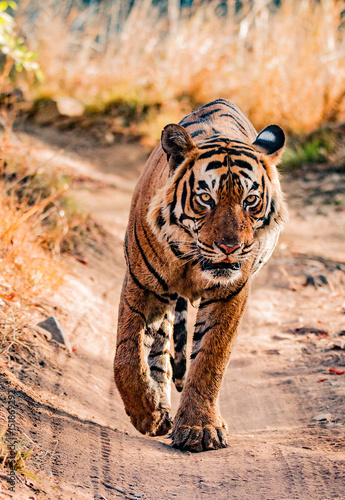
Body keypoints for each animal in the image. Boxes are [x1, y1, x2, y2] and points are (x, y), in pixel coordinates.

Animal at [113, 98, 288, 454]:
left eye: (250, 200)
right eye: (206, 198)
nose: (231, 247)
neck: (192, 261)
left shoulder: (230, 292)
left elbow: (210, 358)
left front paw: (199, 428)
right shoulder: (141, 285)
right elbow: (127, 356)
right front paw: (148, 415)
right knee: (159, 349)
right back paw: (159, 409)